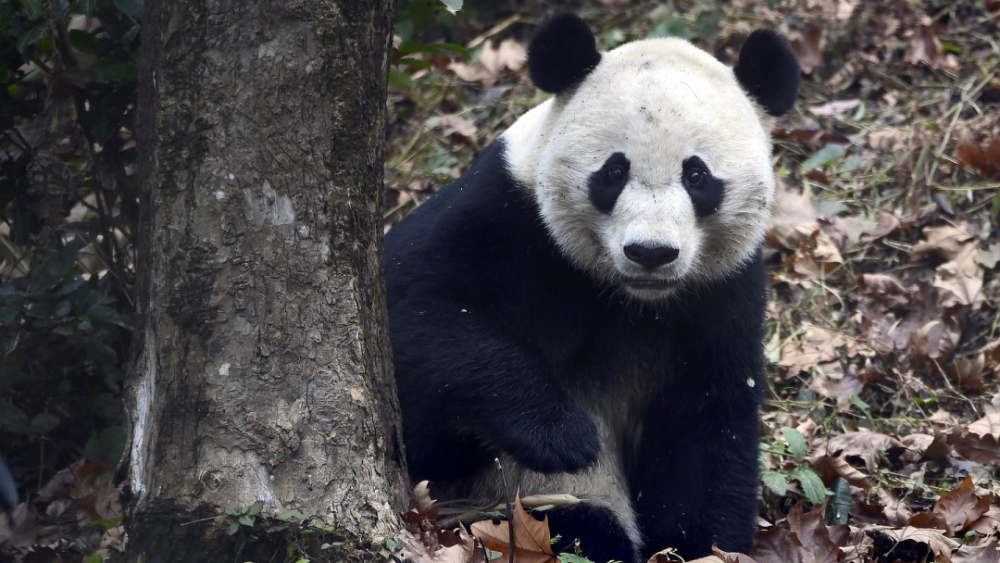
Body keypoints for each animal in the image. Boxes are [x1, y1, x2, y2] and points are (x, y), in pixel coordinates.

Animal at [382, 13, 796, 563]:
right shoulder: (506, 218)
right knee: (567, 523)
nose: (650, 253)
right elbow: (418, 322)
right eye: (614, 171)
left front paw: (700, 545)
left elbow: (707, 425)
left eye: (697, 175)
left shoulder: (720, 293)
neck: (629, 299)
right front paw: (561, 433)